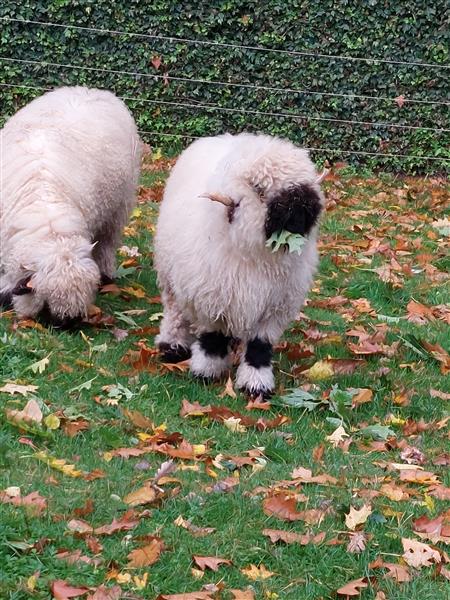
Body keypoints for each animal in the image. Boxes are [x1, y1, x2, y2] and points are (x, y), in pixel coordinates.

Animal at [153, 131, 326, 396]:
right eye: (259, 189)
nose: (305, 204)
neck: (258, 258)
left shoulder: (275, 307)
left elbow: (259, 347)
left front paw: (257, 384)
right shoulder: (212, 299)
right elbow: (213, 338)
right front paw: (206, 371)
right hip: (169, 274)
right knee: (174, 311)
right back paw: (172, 345)